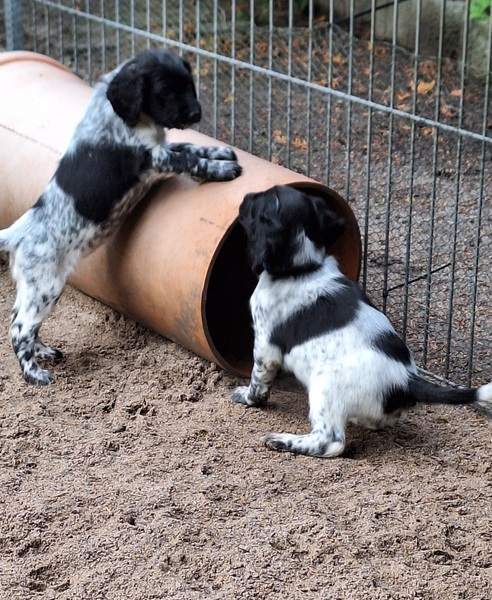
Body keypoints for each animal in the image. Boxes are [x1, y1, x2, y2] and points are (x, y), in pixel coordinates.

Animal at [0, 48, 242, 385]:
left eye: (188, 84)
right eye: (164, 91)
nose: (196, 114)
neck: (125, 116)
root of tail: (17, 232)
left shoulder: (161, 146)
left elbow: (188, 145)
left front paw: (221, 153)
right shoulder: (154, 157)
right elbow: (188, 159)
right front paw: (222, 169)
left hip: (34, 286)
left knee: (20, 319)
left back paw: (45, 351)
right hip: (45, 285)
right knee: (18, 328)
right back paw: (34, 372)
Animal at [232, 185, 492, 457]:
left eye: (260, 202)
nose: (246, 196)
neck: (303, 269)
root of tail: (407, 379)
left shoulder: (265, 346)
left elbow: (258, 382)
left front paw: (246, 397)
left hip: (325, 386)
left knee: (331, 442)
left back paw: (284, 441)